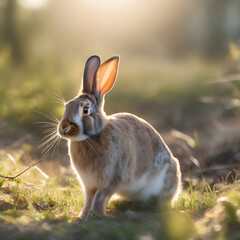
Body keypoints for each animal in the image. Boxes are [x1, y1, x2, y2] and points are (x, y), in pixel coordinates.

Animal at [58, 55, 181, 218]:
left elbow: (100, 197)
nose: (63, 128)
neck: (92, 137)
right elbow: (89, 198)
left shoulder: (112, 178)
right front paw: (83, 215)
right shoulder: (89, 184)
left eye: (85, 110)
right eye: (67, 106)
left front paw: (95, 214)